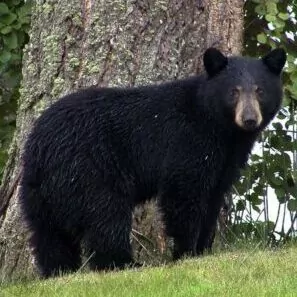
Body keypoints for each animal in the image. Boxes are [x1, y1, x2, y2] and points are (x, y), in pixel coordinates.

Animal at [18, 47, 284, 276]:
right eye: (233, 91)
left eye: (260, 90)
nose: (249, 119)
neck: (221, 128)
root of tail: (39, 146)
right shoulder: (188, 141)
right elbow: (183, 193)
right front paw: (185, 252)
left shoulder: (226, 160)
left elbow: (213, 198)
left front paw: (203, 250)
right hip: (89, 169)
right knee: (106, 216)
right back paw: (125, 263)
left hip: (39, 191)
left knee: (48, 234)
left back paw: (59, 270)